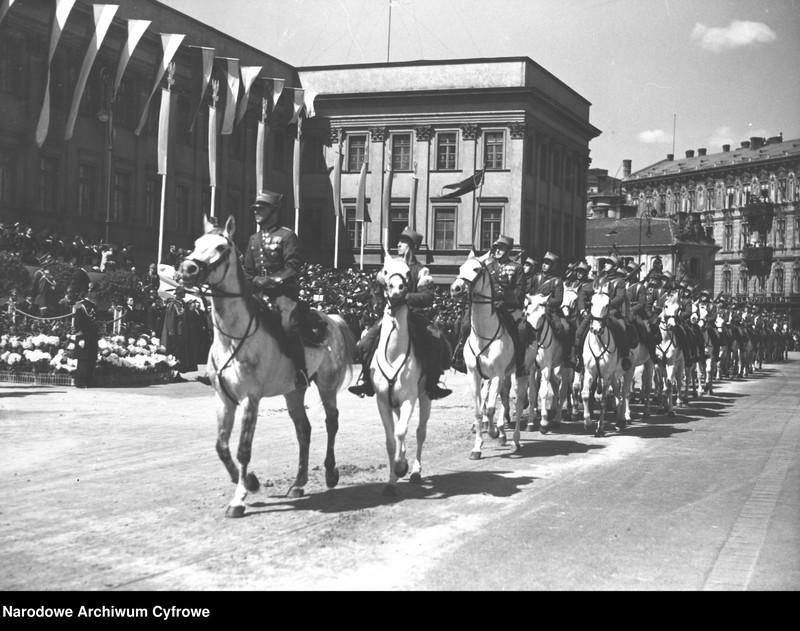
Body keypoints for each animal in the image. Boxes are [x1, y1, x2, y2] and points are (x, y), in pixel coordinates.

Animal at [181, 215, 360, 516]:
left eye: (221, 247)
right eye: (195, 243)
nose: (187, 268)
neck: (232, 336)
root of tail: (331, 319)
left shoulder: (250, 399)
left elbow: (243, 449)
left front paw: (240, 498)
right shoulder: (223, 399)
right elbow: (222, 447)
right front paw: (249, 481)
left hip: (326, 385)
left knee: (331, 421)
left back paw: (330, 472)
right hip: (294, 391)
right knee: (304, 430)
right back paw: (298, 483)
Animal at [370, 256, 432, 498]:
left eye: (407, 272)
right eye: (385, 271)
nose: (396, 289)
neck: (393, 353)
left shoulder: (409, 399)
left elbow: (401, 432)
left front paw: (401, 467)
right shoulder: (382, 401)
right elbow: (390, 439)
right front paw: (391, 481)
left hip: (425, 398)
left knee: (420, 432)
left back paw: (415, 470)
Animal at [446, 251, 520, 454]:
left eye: (476, 269)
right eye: (460, 268)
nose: (455, 289)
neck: (484, 334)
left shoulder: (496, 375)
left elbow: (490, 408)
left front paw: (493, 432)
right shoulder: (475, 375)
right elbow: (479, 411)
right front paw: (477, 446)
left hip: (522, 373)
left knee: (518, 399)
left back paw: (514, 438)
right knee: (505, 396)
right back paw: (502, 432)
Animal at [524, 292, 568, 434]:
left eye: (543, 315)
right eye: (527, 313)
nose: (532, 335)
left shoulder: (545, 367)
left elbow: (543, 392)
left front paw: (543, 422)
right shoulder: (531, 369)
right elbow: (532, 393)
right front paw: (530, 422)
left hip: (565, 367)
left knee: (563, 390)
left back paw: (557, 419)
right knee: (555, 385)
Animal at [580, 290, 624, 434]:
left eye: (607, 305)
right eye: (591, 303)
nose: (596, 329)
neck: (599, 342)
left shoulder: (607, 375)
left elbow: (604, 401)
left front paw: (600, 427)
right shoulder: (589, 372)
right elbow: (585, 394)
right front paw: (587, 423)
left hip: (615, 376)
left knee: (620, 397)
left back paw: (621, 422)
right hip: (613, 378)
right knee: (619, 397)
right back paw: (619, 422)